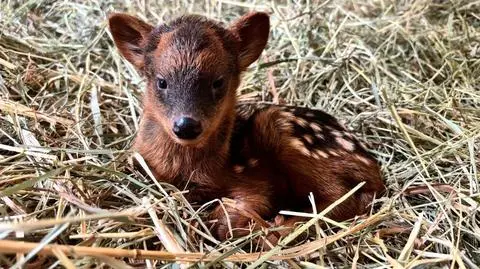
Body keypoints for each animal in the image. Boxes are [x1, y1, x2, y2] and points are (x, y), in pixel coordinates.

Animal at [109, 11, 386, 243]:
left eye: (218, 82)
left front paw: (235, 223)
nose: (186, 126)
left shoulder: (255, 180)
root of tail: (373, 167)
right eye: (162, 81)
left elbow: (247, 206)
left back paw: (280, 226)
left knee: (342, 197)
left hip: (279, 126)